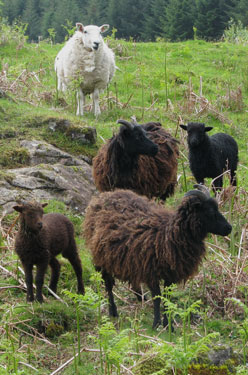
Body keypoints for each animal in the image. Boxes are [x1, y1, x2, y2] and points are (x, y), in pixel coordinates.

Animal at [84, 185, 232, 328]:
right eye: (210, 212)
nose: (229, 228)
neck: (170, 234)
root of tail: (104, 195)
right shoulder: (151, 272)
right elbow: (158, 297)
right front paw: (156, 323)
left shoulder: (170, 274)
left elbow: (167, 297)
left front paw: (168, 325)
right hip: (101, 258)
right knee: (108, 284)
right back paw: (113, 311)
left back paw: (140, 298)